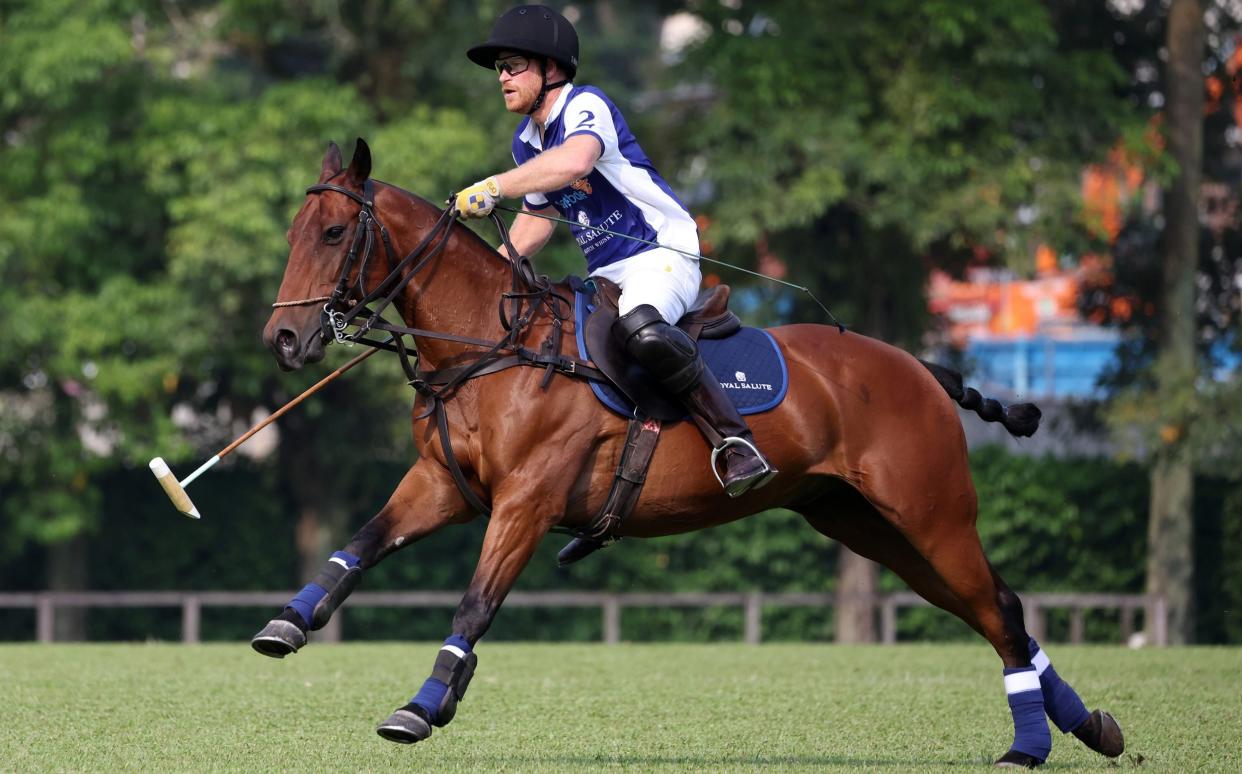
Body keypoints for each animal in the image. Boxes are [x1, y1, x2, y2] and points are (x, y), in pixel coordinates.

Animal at [252, 141, 1127, 770]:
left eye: (335, 233)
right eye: (291, 233)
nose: (285, 339)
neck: (487, 347)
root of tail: (919, 368)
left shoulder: (527, 499)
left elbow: (475, 603)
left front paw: (422, 706)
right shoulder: (444, 483)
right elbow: (361, 543)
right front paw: (286, 624)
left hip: (931, 511)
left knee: (999, 607)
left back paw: (1030, 746)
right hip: (867, 524)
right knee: (989, 607)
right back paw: (1090, 727)